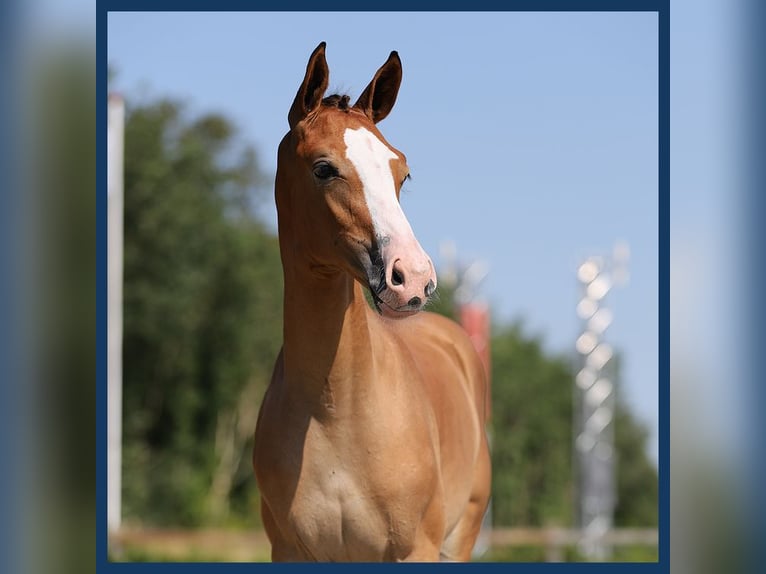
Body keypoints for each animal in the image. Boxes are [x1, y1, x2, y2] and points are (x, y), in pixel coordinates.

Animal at [254, 42, 492, 564]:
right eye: (323, 168)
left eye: (403, 172)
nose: (413, 278)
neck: (336, 410)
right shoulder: (290, 551)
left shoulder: (416, 549)